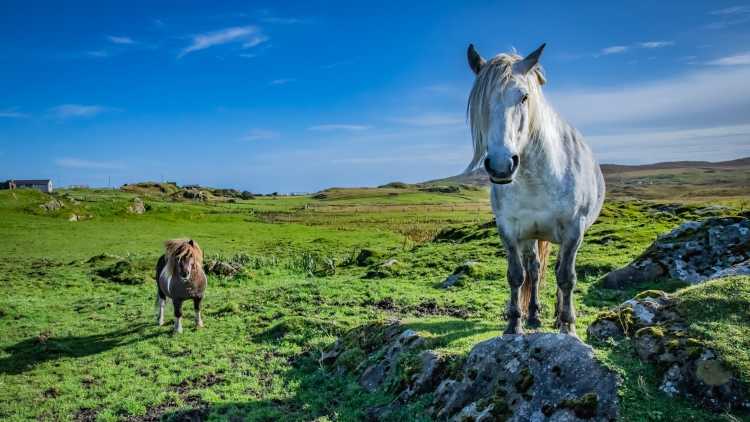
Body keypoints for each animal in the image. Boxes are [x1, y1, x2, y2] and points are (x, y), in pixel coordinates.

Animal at [468, 43, 608, 336]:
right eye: (482, 102)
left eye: (524, 97)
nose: (501, 165)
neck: (538, 179)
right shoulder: (509, 230)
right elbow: (517, 276)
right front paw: (514, 324)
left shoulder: (574, 231)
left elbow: (566, 277)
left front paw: (568, 326)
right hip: (532, 236)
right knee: (534, 270)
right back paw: (533, 315)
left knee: (558, 272)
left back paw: (557, 316)